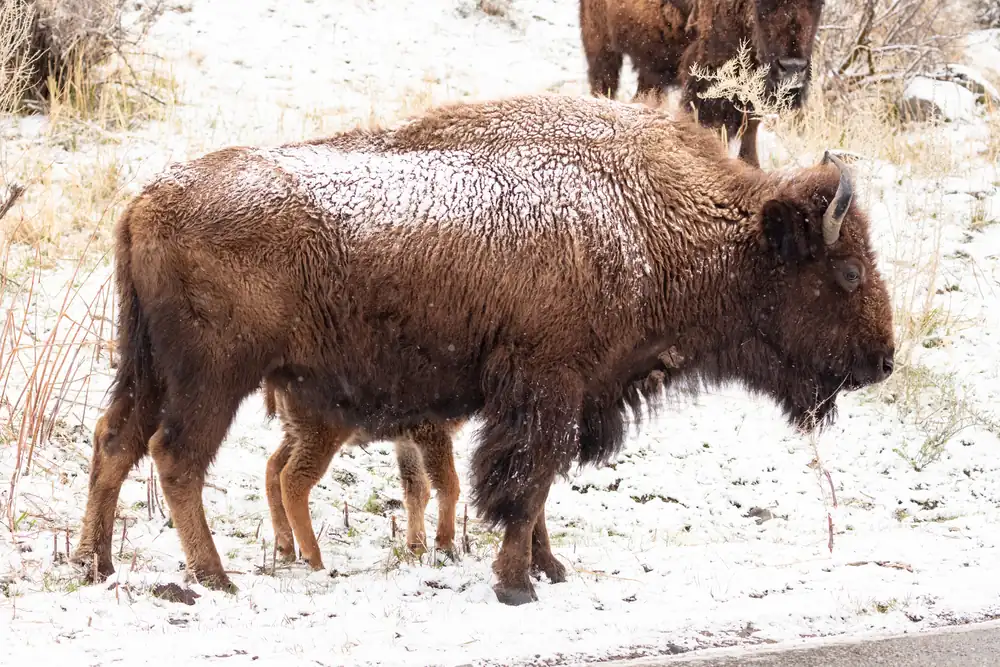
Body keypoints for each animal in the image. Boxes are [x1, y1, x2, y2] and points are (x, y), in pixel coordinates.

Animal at [71, 93, 894, 608]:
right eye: (847, 272)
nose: (884, 358)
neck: (648, 217)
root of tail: (146, 201)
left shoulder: (564, 392)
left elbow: (540, 488)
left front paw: (550, 568)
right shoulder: (548, 386)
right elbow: (525, 484)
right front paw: (515, 583)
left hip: (145, 367)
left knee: (115, 441)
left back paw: (95, 564)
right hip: (213, 378)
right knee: (176, 458)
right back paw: (215, 579)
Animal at [581, 0, 826, 167]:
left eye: (819, 3)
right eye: (761, 3)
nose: (792, 67)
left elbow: (749, 131)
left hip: (651, 67)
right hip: (600, 46)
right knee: (603, 86)